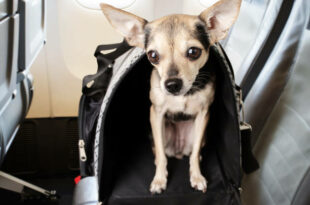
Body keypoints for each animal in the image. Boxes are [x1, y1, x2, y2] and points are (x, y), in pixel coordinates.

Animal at [100, 0, 241, 195]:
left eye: (193, 52)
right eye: (153, 56)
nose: (172, 84)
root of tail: (178, 150)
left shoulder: (203, 114)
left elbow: (194, 154)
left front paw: (197, 176)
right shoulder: (156, 114)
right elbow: (161, 155)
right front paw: (159, 180)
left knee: (194, 151)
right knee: (160, 152)